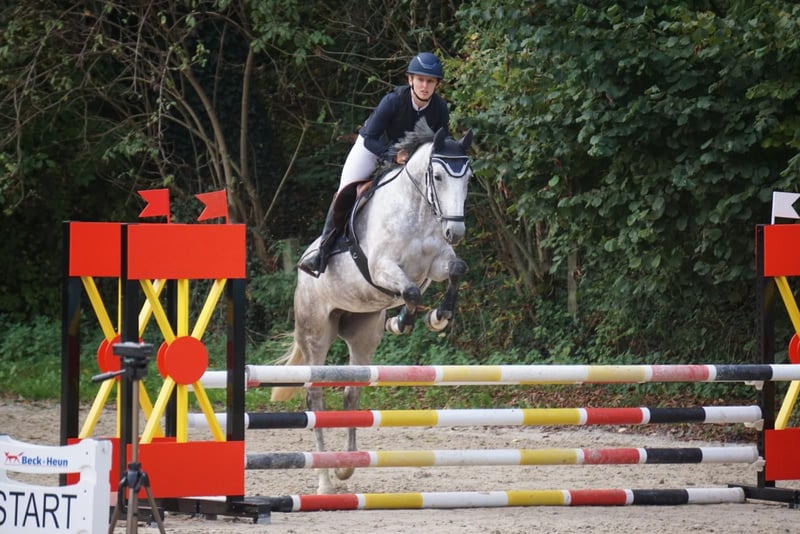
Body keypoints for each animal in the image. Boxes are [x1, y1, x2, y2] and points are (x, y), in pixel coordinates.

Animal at [271, 120, 473, 494]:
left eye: (468, 177)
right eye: (438, 176)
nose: (455, 231)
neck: (418, 209)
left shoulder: (436, 264)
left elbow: (455, 270)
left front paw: (439, 318)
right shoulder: (382, 268)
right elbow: (411, 291)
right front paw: (402, 322)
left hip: (362, 333)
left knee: (351, 394)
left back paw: (345, 468)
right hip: (316, 333)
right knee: (314, 397)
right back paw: (324, 481)